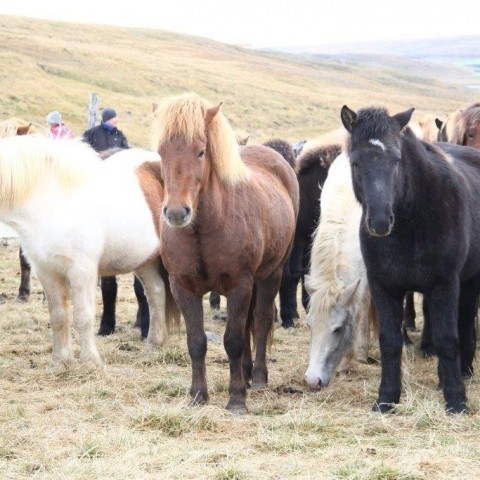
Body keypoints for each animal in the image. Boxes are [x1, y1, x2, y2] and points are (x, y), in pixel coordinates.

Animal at [0, 135, 180, 368]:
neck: (54, 203)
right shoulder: (46, 271)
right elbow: (58, 317)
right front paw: (60, 362)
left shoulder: (81, 270)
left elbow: (83, 316)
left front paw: (90, 362)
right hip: (145, 260)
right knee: (156, 293)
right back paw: (153, 344)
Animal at [153, 93, 300, 412]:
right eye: (160, 152)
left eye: (201, 152)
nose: (176, 212)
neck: (204, 229)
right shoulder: (183, 287)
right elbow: (196, 341)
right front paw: (197, 395)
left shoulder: (239, 285)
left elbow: (233, 340)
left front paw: (236, 400)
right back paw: (245, 372)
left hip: (271, 274)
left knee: (261, 320)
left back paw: (257, 377)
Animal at [340, 104, 480, 412]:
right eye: (355, 162)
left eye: (396, 160)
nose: (381, 222)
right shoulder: (384, 286)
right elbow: (390, 341)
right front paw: (386, 399)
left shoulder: (444, 284)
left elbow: (446, 339)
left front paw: (456, 400)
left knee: (464, 320)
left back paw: (462, 373)